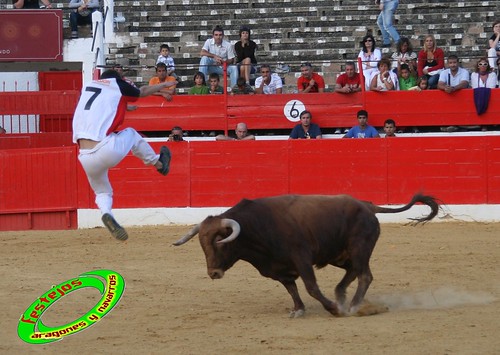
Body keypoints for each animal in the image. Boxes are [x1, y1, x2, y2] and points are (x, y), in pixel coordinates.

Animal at [174, 193, 440, 318]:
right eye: (202, 244)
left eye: (220, 243)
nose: (213, 273)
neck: (256, 227)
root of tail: (366, 205)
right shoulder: (279, 268)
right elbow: (292, 289)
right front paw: (299, 310)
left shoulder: (301, 258)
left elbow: (311, 287)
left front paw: (333, 309)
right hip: (340, 255)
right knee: (353, 273)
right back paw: (342, 296)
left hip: (359, 248)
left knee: (365, 275)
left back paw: (352, 306)